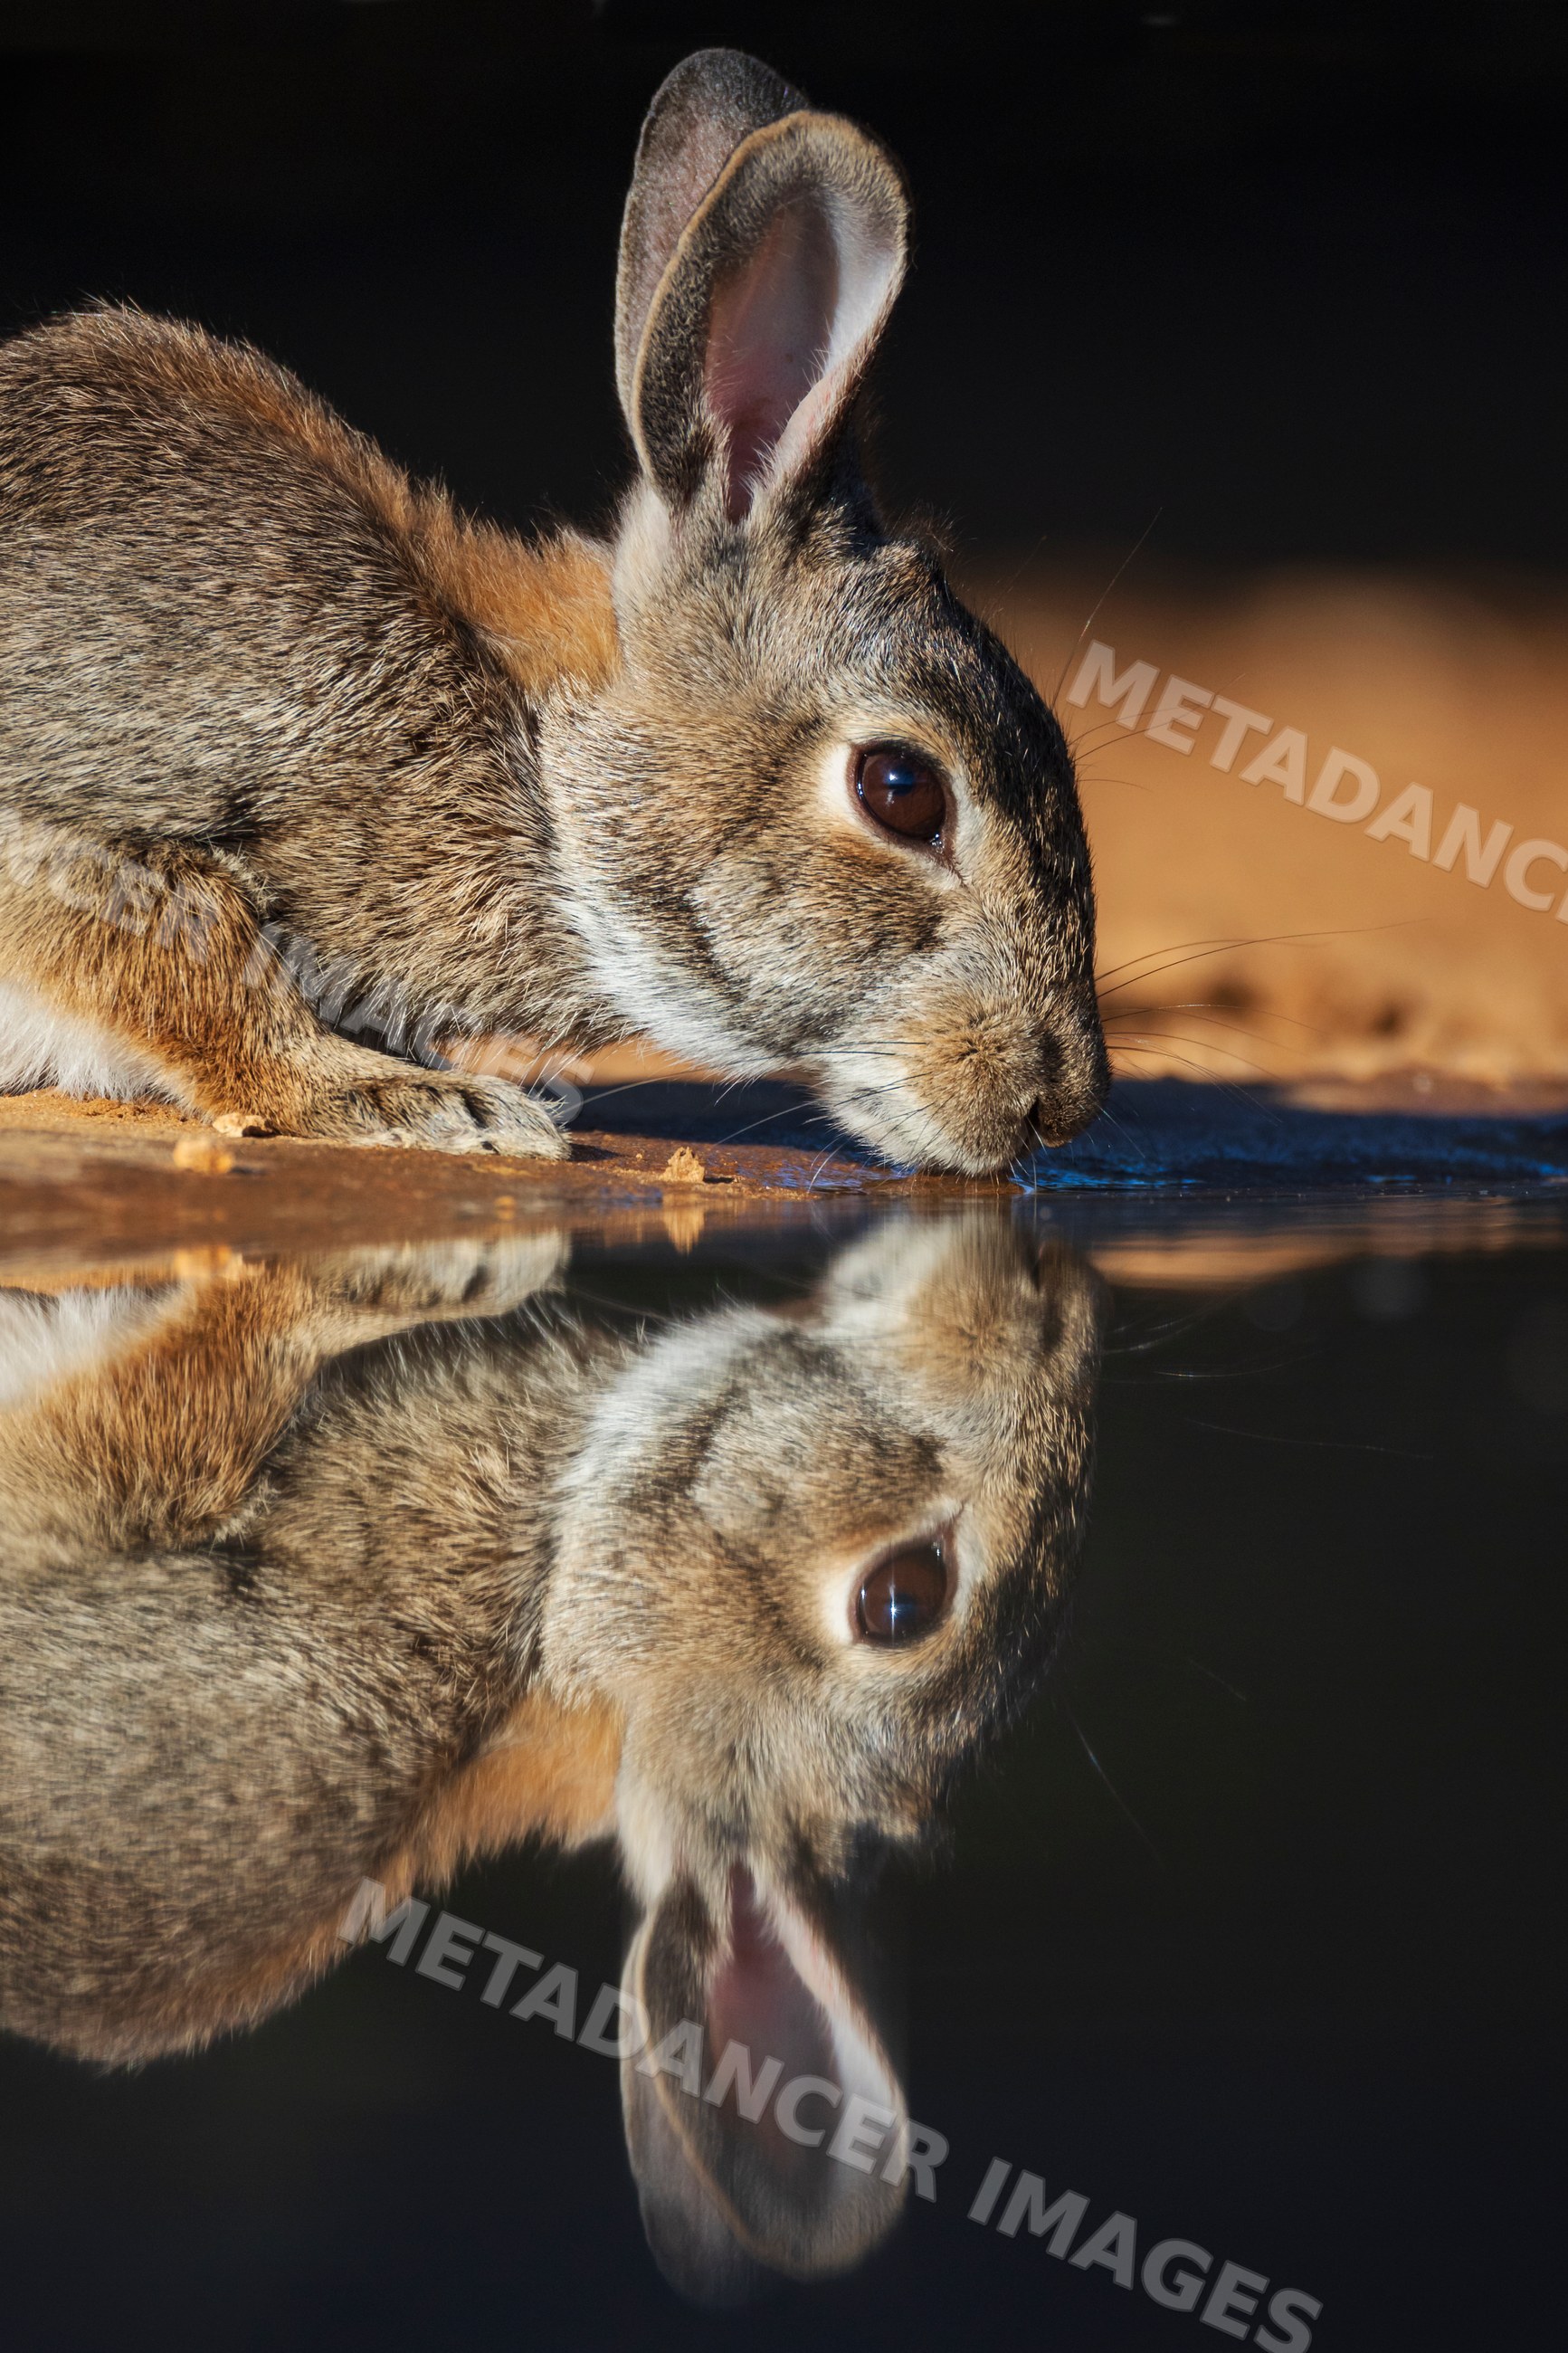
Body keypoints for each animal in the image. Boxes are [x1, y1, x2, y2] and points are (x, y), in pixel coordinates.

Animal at [0, 46, 1107, 1172]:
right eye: (900, 789)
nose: (1060, 1102)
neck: (536, 761)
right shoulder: (94, 806)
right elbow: (205, 970)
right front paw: (428, 1102)